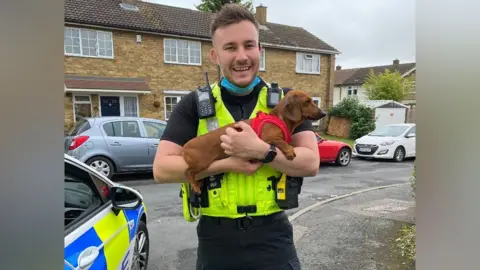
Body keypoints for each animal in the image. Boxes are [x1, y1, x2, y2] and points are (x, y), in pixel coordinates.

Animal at [181, 89, 326, 193]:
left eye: (312, 101)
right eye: (307, 101)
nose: (324, 113)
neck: (279, 118)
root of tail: (185, 147)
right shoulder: (267, 138)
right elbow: (281, 141)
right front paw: (289, 150)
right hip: (202, 162)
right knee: (187, 172)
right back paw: (195, 186)